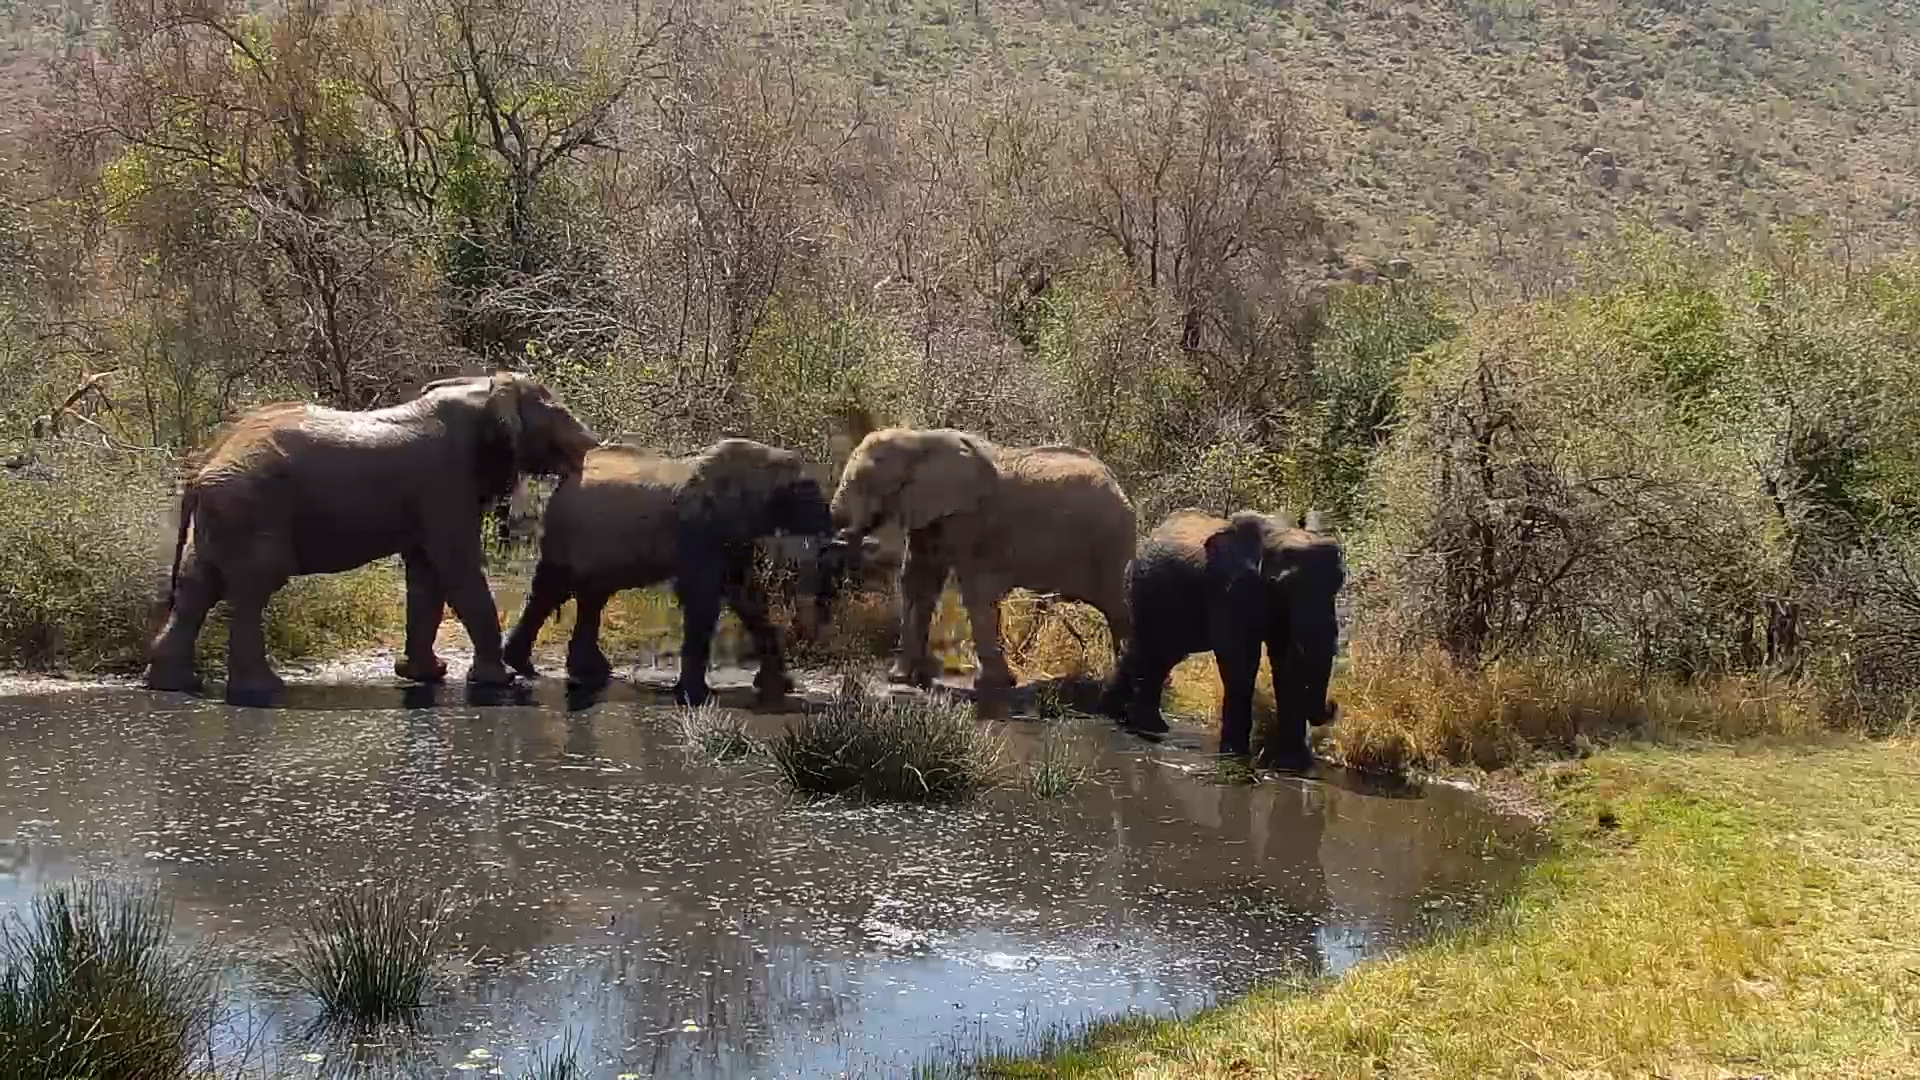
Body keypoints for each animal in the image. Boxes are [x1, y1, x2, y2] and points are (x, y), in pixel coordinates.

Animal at [143, 371, 602, 705]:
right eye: (558, 411)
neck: (481, 387)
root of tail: (202, 470)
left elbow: (425, 575)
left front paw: (427, 675)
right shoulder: (445, 482)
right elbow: (456, 567)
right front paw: (500, 682)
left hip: (226, 514)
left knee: (199, 585)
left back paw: (172, 684)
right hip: (251, 504)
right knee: (254, 585)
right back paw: (262, 690)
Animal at [501, 437, 845, 706]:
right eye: (809, 496)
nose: (834, 539)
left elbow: (744, 593)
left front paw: (778, 687)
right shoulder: (701, 527)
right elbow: (702, 596)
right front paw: (696, 697)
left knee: (592, 596)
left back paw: (590, 672)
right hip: (566, 531)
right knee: (551, 588)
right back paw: (524, 665)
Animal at [830, 427, 1136, 717]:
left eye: (866, 480)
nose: (845, 533)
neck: (917, 439)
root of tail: (1117, 483)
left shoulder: (969, 519)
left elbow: (974, 592)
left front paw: (993, 685)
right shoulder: (930, 515)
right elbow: (919, 580)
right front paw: (902, 678)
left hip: (1111, 543)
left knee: (1118, 605)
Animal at [1097, 509, 1345, 772]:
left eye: (1338, 583)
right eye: (1283, 585)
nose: (1333, 704)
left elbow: (1286, 662)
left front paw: (1295, 766)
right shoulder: (1230, 588)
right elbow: (1241, 659)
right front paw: (1235, 756)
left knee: (1161, 655)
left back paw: (1140, 723)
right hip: (1142, 589)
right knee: (1147, 648)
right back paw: (1120, 718)